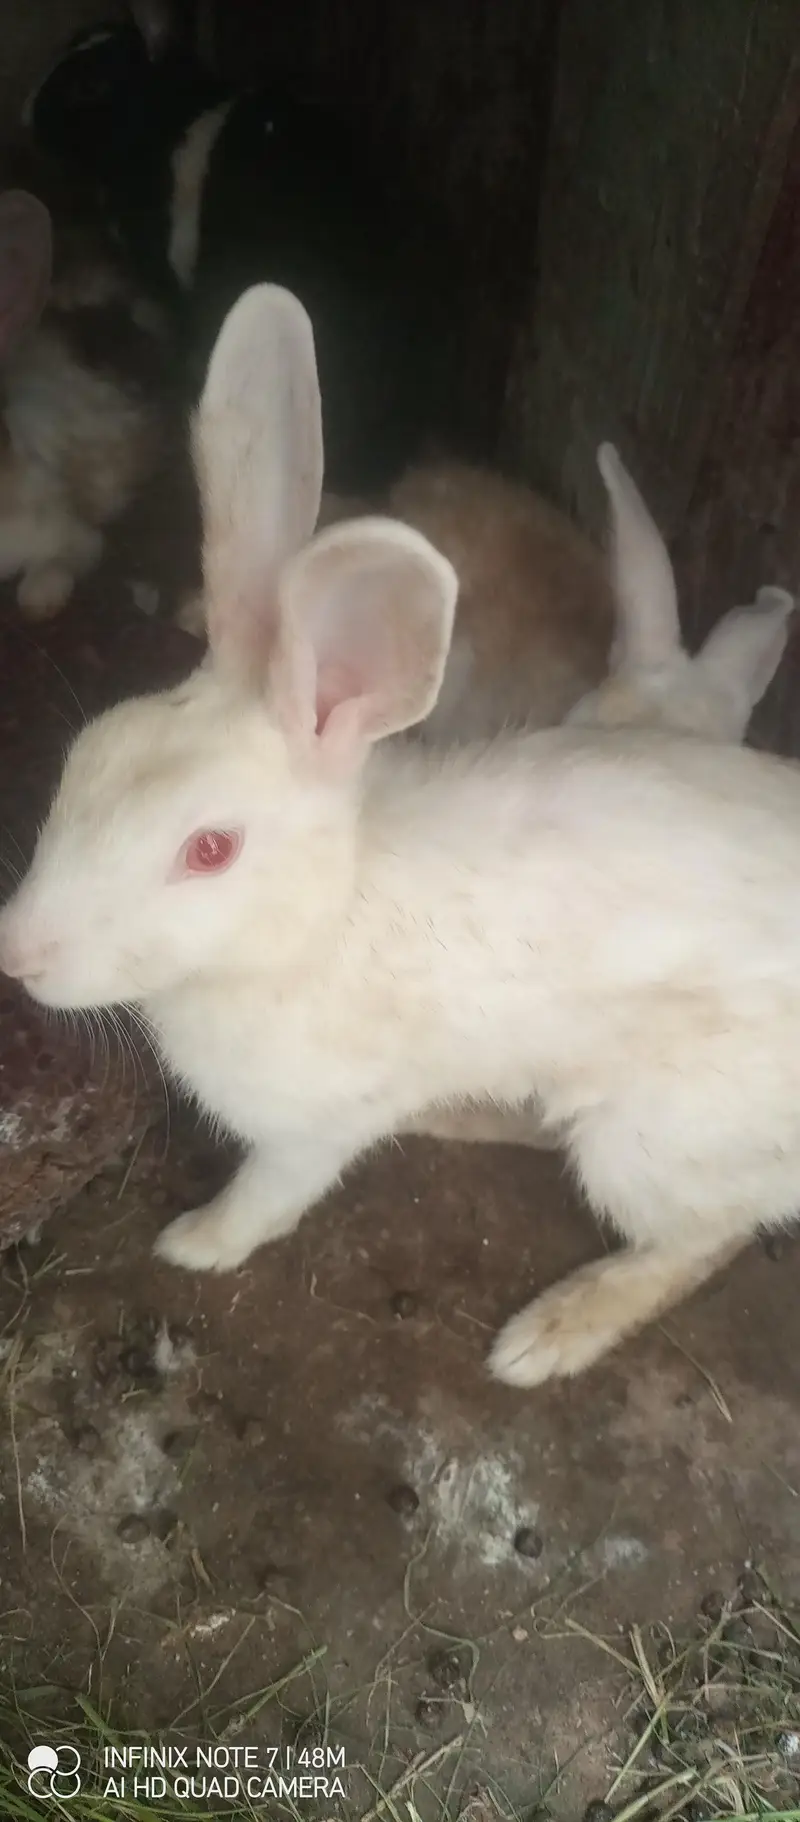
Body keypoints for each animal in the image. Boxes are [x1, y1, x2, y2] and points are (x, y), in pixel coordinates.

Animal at [6, 284, 800, 1393]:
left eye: (209, 850)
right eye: (82, 762)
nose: (18, 952)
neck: (318, 917)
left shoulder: (312, 1129)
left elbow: (270, 1197)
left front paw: (195, 1241)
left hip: (649, 1136)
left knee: (708, 1236)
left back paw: (551, 1334)